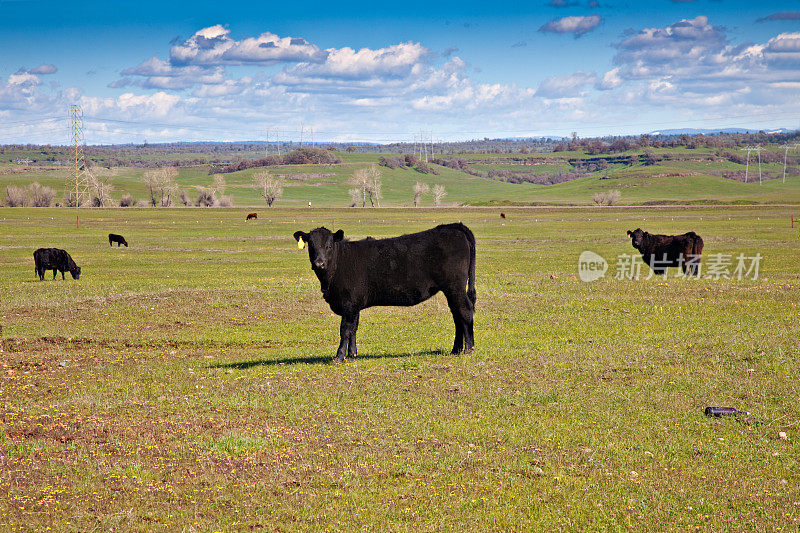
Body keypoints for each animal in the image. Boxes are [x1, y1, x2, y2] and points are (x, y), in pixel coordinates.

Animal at [296, 222, 478, 364]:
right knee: (457, 316)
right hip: (451, 289)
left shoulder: (349, 303)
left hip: (455, 286)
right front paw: (352, 355)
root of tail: (452, 226)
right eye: (311, 246)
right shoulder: (354, 305)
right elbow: (353, 329)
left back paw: (469, 348)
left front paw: (339, 357)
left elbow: (345, 330)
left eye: (329, 246)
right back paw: (456, 349)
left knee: (465, 311)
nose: (319, 263)